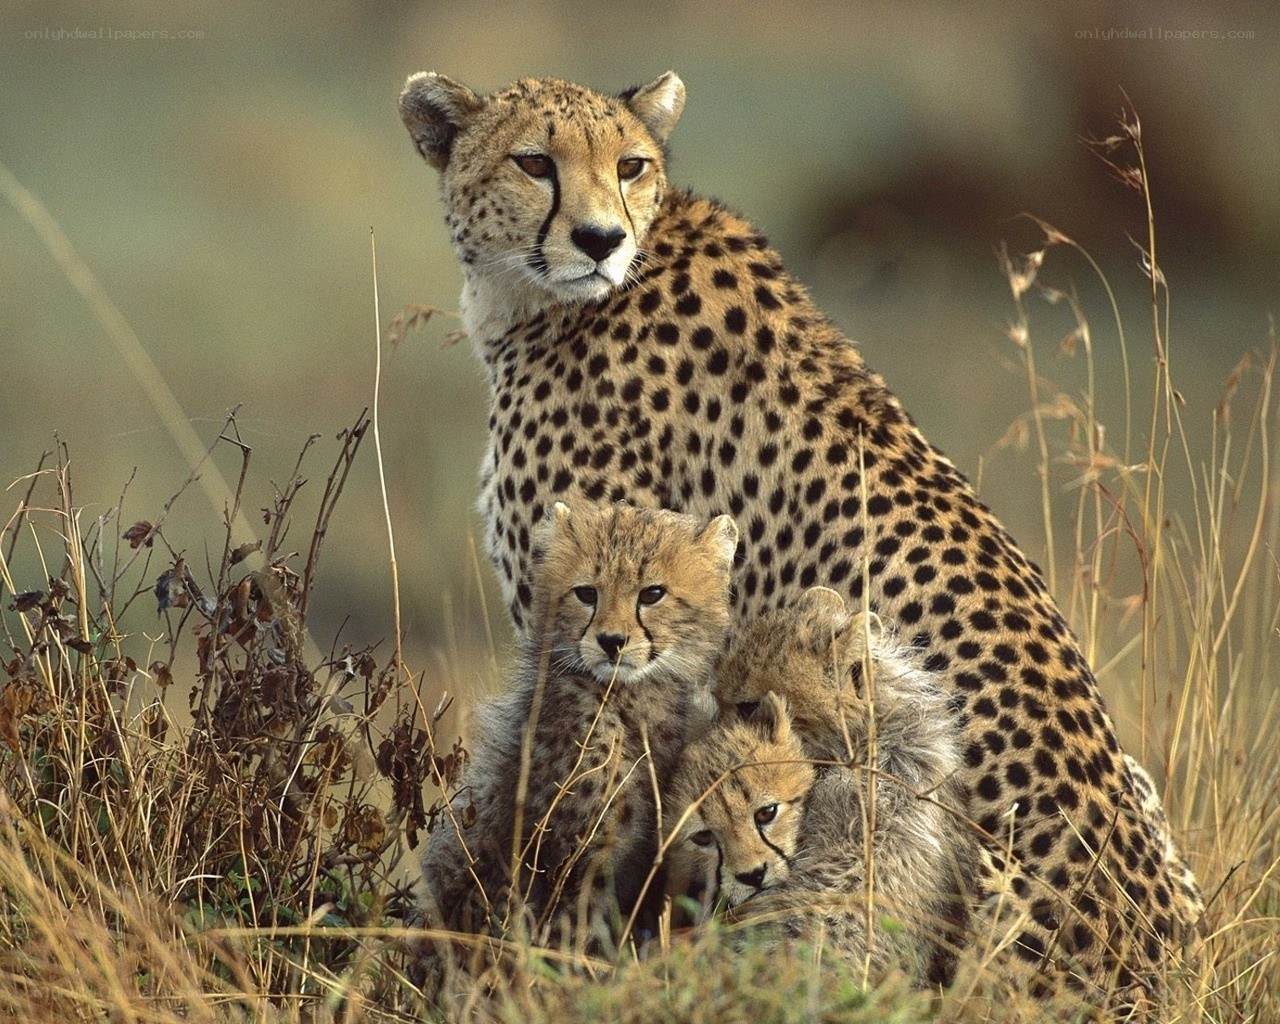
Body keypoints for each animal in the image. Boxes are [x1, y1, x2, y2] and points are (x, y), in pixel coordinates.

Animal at [419, 501, 738, 955]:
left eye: (652, 593)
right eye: (587, 593)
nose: (612, 641)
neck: (626, 698)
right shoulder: (571, 861)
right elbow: (571, 937)